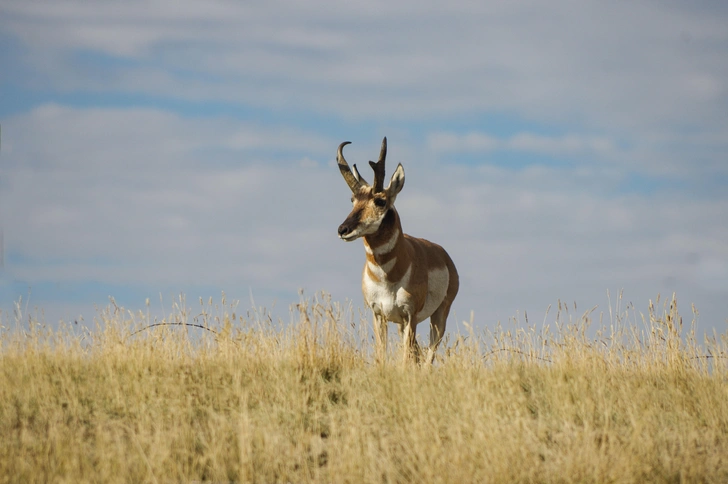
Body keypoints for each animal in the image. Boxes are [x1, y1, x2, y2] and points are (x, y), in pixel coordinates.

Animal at [336, 136, 460, 364]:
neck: (388, 276)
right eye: (352, 200)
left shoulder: (410, 315)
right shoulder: (379, 315)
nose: (343, 229)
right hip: (403, 324)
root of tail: (443, 254)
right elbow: (381, 355)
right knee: (418, 354)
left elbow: (405, 360)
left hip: (438, 316)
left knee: (429, 355)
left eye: (380, 200)